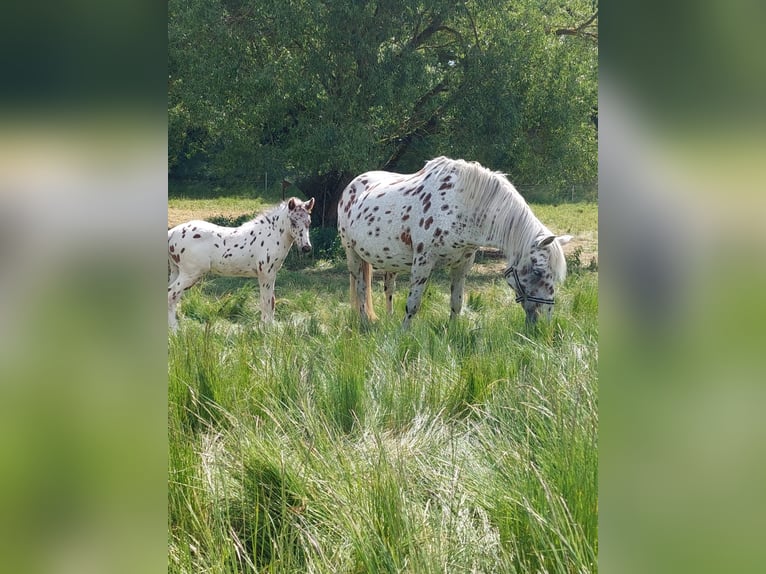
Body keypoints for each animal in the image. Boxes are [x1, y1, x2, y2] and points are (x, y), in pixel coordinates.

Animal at [168, 197, 315, 330]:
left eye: (309, 222)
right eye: (293, 222)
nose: (306, 248)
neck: (271, 235)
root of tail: (172, 232)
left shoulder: (270, 275)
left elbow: (270, 301)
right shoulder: (266, 274)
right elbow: (267, 302)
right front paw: (267, 330)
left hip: (176, 271)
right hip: (191, 274)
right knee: (171, 295)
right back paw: (175, 331)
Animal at [337, 157, 571, 327]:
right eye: (538, 272)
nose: (546, 322)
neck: (460, 205)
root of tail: (352, 185)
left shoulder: (463, 264)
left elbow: (456, 303)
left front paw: (453, 331)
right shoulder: (423, 262)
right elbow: (413, 304)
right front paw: (404, 334)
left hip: (389, 262)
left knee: (388, 289)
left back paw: (388, 319)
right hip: (352, 254)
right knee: (361, 290)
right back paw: (364, 322)